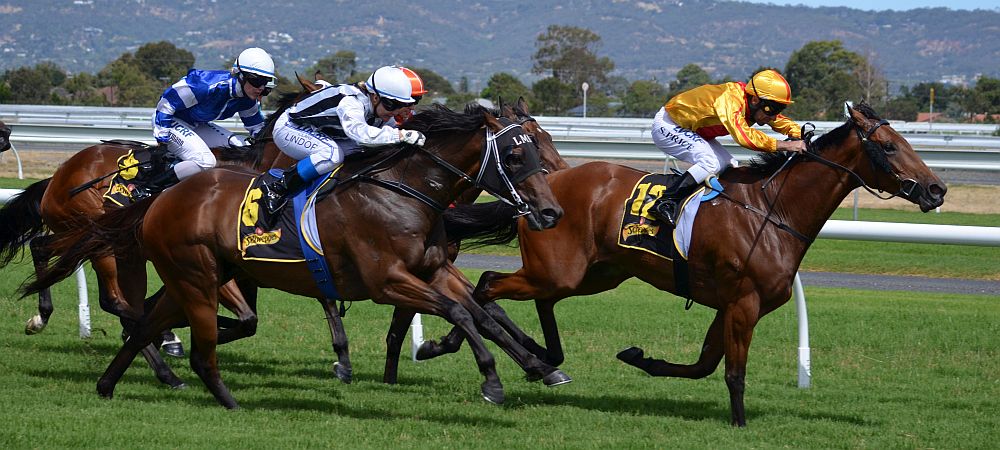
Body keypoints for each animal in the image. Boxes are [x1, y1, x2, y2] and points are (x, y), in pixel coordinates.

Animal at [25, 104, 572, 408]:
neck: (403, 190)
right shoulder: (386, 280)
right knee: (119, 300)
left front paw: (540, 365)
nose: (551, 211)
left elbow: (482, 311)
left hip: (176, 269)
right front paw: (493, 380)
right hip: (153, 260)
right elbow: (461, 311)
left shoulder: (433, 268)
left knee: (141, 316)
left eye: (542, 144)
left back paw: (128, 377)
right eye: (517, 155)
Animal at [406, 103, 944, 426]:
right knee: (487, 285)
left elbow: (704, 365)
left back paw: (543, 359)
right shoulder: (744, 302)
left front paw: (639, 358)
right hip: (557, 268)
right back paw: (456, 347)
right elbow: (732, 371)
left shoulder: (729, 304)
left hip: (593, 274)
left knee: (537, 299)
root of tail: (540, 189)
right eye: (890, 147)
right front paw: (740, 422)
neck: (773, 212)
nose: (937, 189)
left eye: (909, 143)